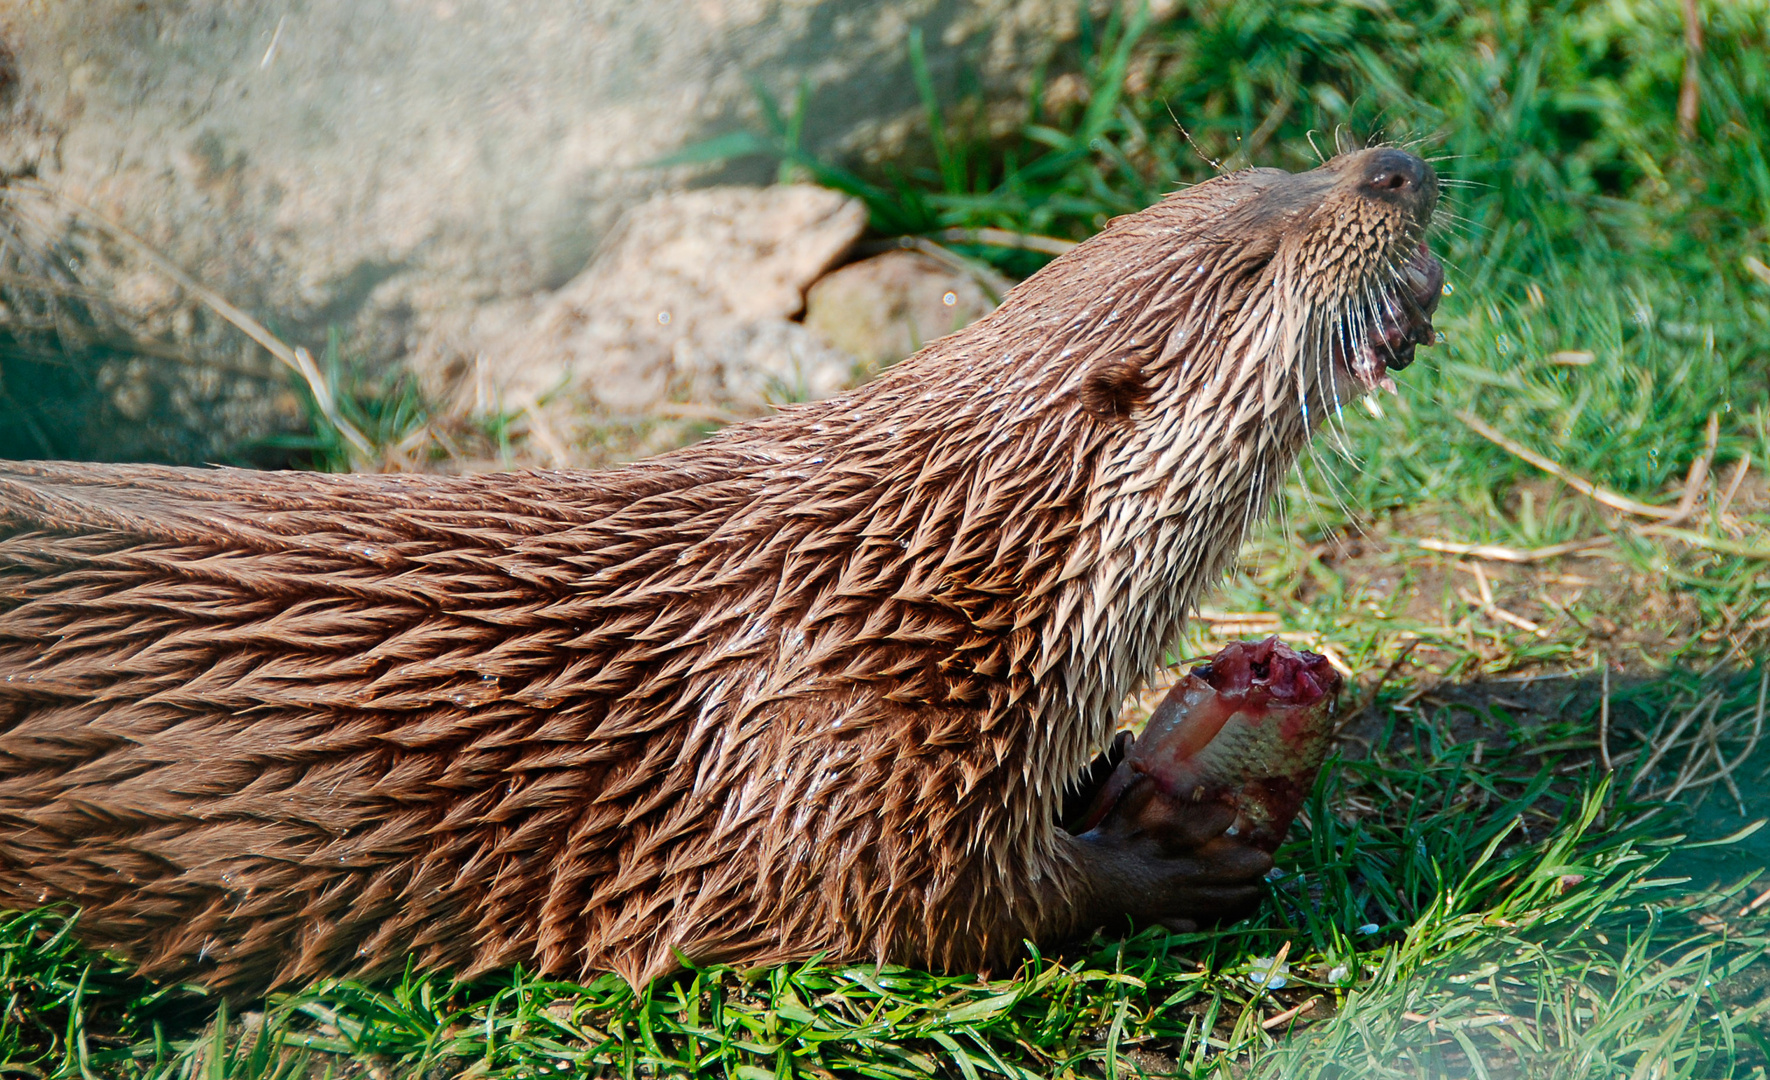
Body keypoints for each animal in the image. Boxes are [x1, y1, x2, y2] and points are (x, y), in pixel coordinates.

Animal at [0, 146, 1437, 998]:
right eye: (1255, 253)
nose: (1390, 164)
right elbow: (941, 909)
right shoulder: (830, 761)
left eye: (1274, 168)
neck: (922, 584)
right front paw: (1170, 851)